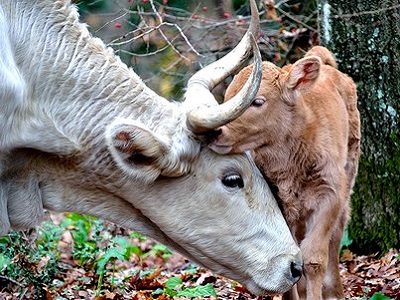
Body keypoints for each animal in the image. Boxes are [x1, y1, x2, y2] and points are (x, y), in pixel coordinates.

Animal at [211, 45, 360, 298]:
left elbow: (313, 258)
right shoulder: (277, 201)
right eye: (228, 97)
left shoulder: (330, 195)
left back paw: (335, 291)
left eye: (257, 101)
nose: (215, 131)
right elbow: (289, 258)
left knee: (337, 233)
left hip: (349, 174)